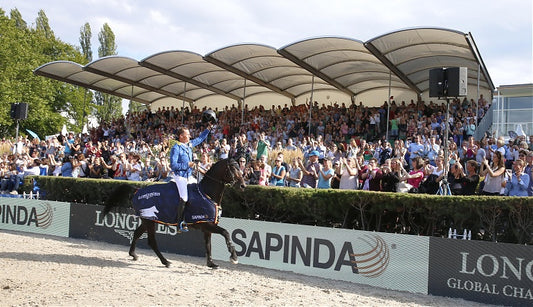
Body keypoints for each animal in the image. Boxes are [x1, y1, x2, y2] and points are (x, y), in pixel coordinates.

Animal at [103, 160, 246, 268]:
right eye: (233, 168)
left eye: (240, 167)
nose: (243, 185)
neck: (206, 193)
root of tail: (137, 190)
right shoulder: (205, 224)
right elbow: (225, 233)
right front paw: (233, 256)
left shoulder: (207, 226)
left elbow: (208, 245)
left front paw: (211, 263)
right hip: (149, 221)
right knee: (151, 241)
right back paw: (165, 262)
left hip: (147, 220)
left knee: (137, 233)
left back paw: (133, 254)